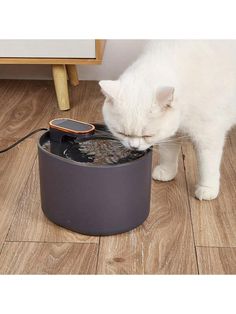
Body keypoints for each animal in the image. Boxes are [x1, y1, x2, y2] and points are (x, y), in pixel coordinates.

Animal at [98, 40, 236, 200]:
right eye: (122, 133)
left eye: (147, 135)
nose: (134, 147)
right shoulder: (168, 134)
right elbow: (168, 153)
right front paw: (166, 171)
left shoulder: (208, 134)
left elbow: (207, 164)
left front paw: (207, 189)